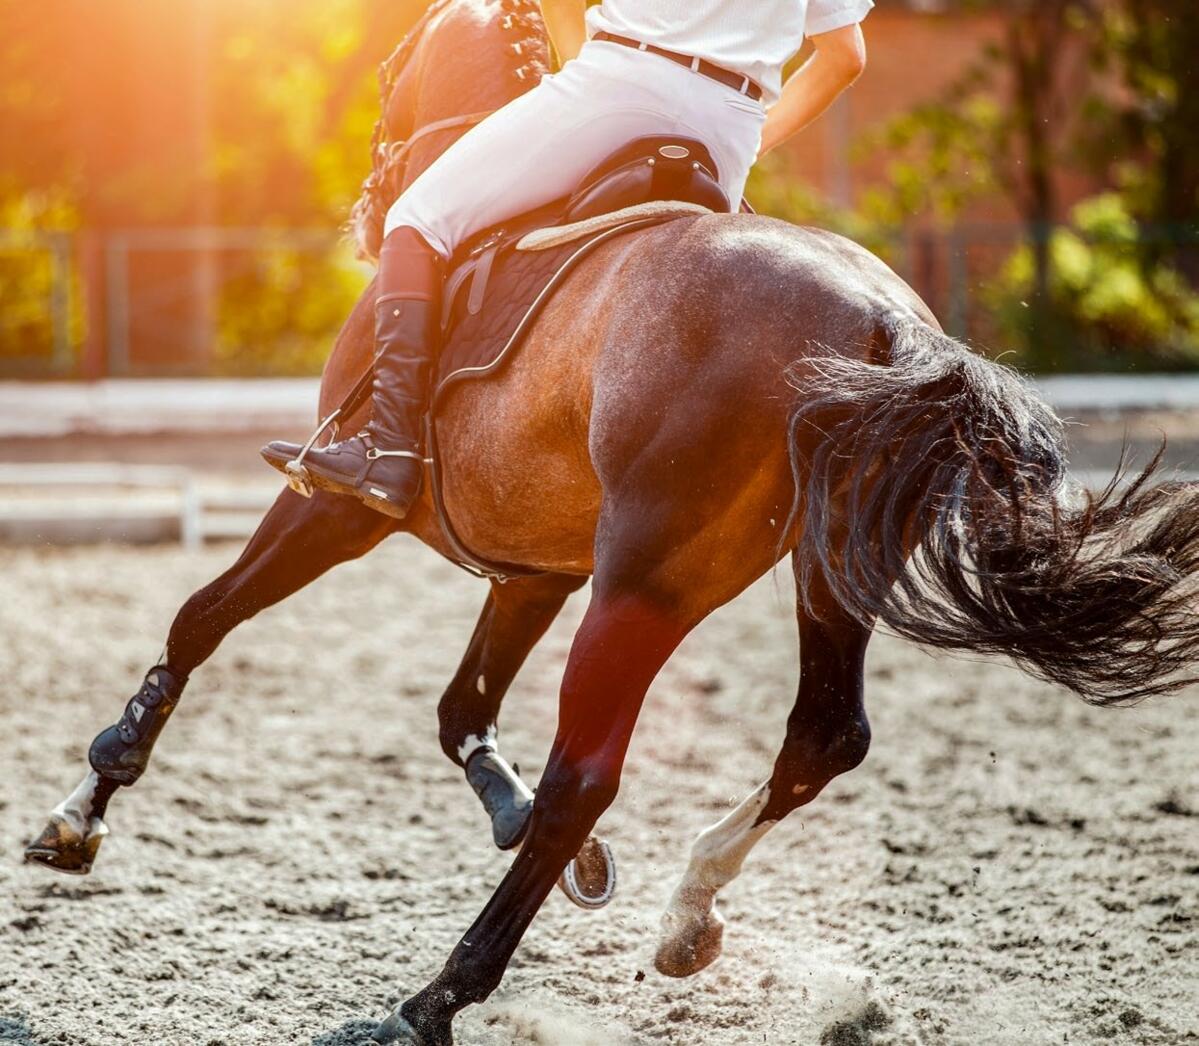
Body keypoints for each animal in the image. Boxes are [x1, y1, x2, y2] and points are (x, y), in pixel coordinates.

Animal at [27, 1, 1199, 1042]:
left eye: (390, 71)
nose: (368, 195)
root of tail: (886, 322)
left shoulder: (339, 506)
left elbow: (201, 617)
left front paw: (81, 812)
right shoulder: (535, 563)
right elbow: (460, 707)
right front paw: (530, 830)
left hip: (642, 583)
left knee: (585, 775)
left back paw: (436, 999)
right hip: (821, 567)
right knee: (821, 734)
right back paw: (684, 915)